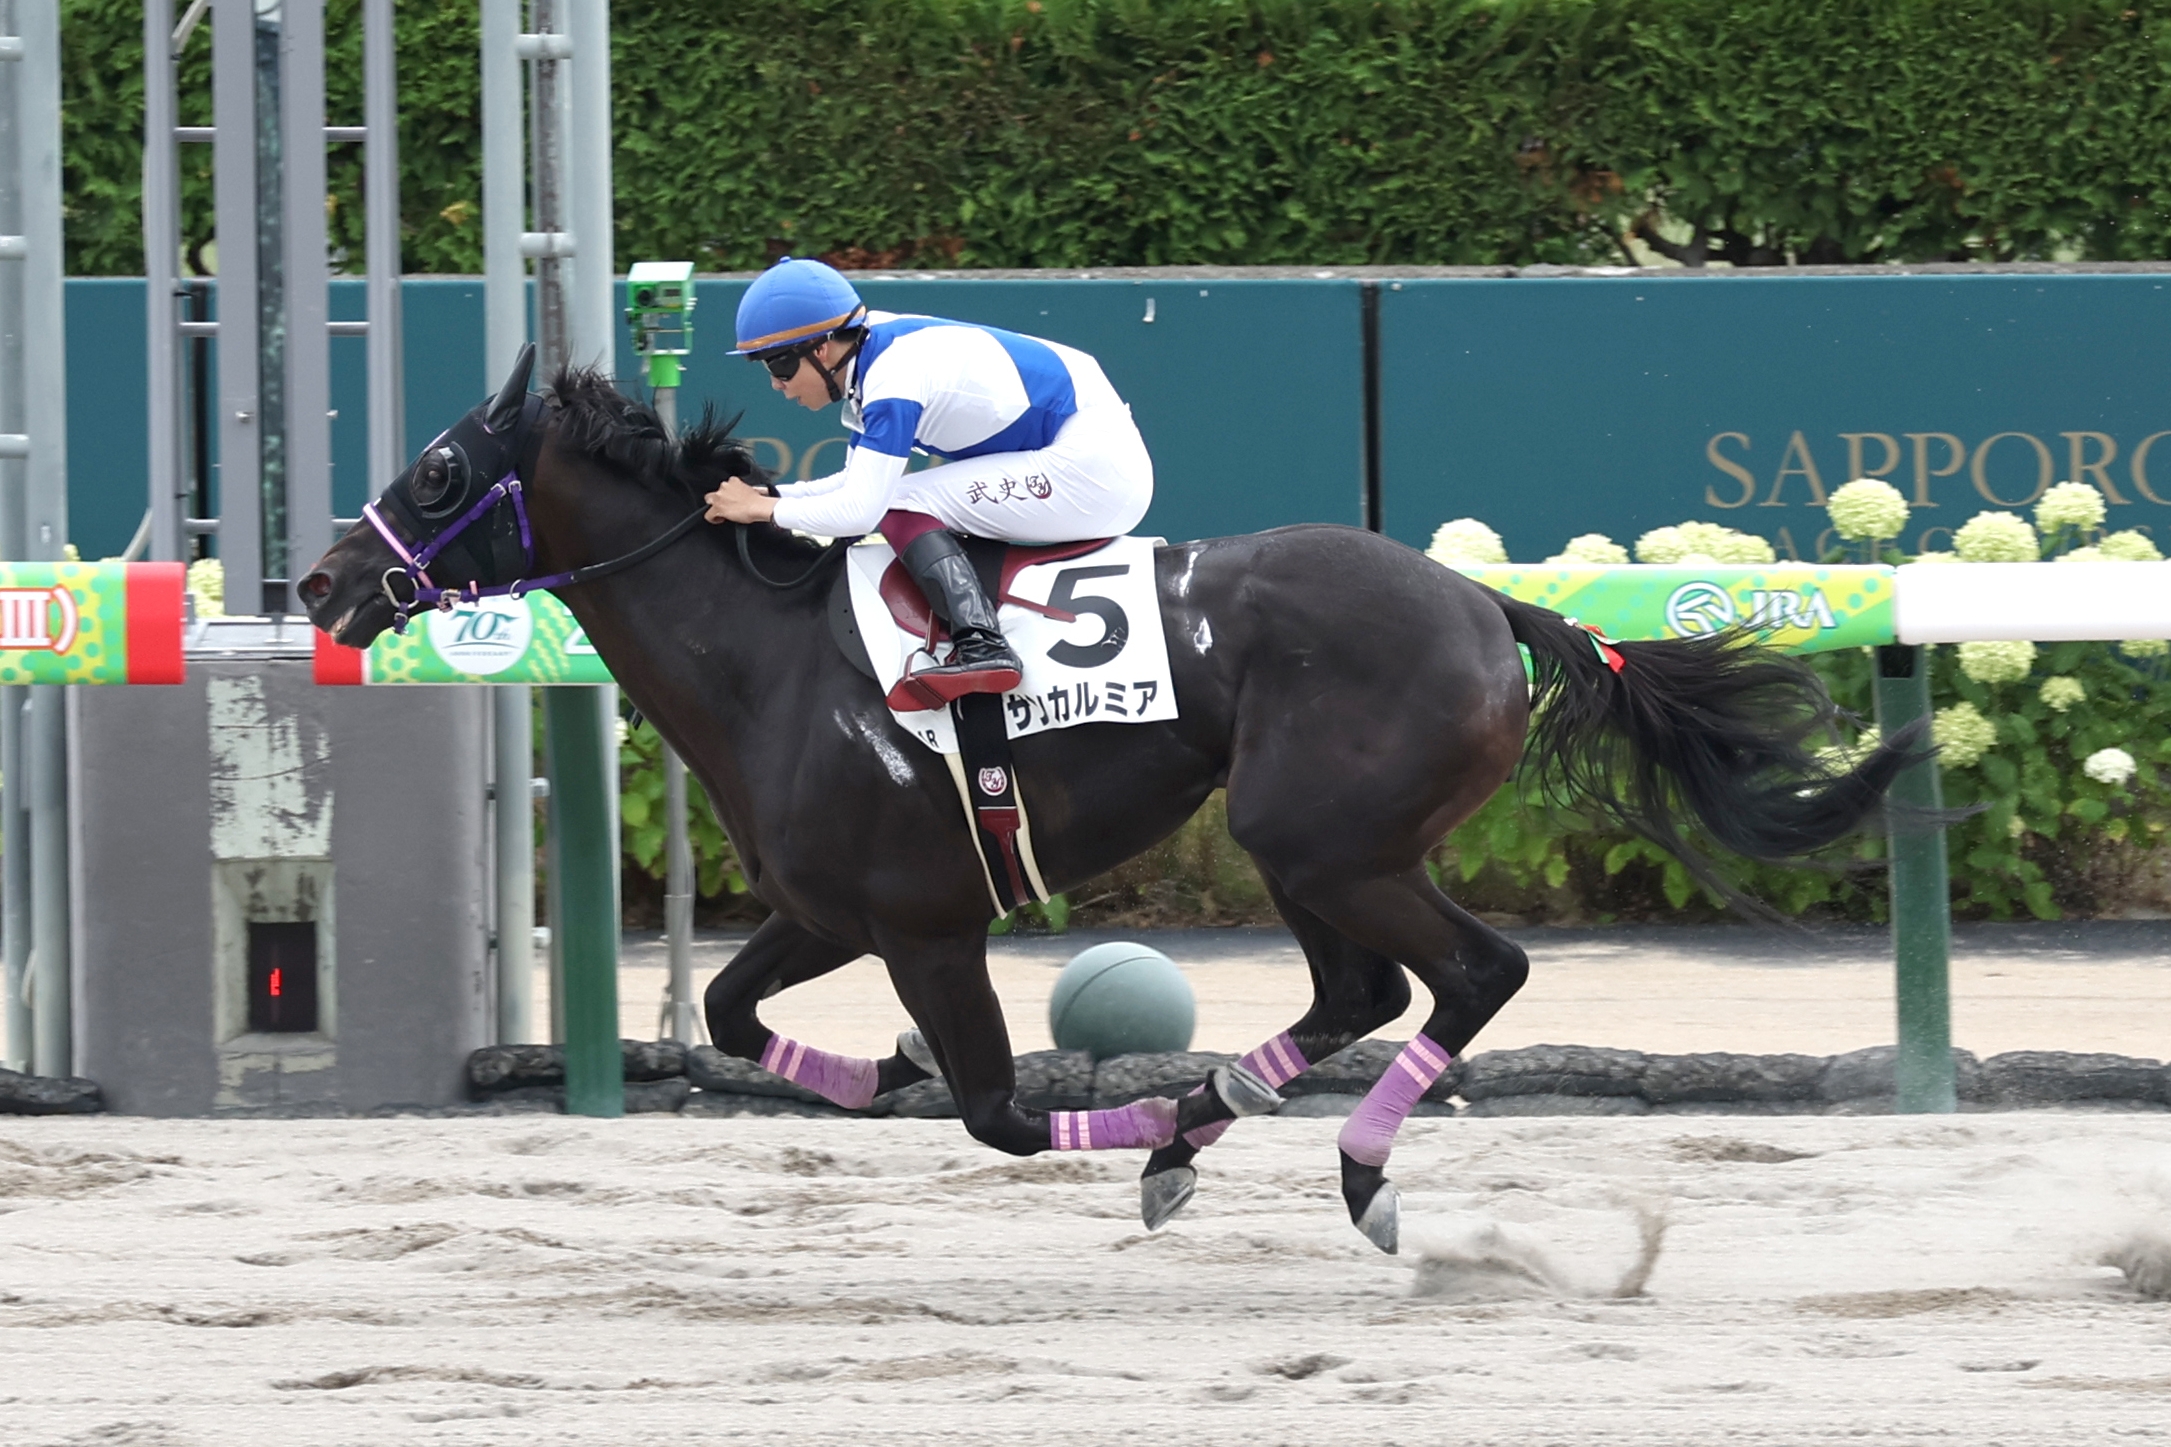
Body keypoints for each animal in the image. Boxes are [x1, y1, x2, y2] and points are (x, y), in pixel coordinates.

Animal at [300, 349, 1923, 1254]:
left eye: (438, 468)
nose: (321, 581)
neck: (769, 658)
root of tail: (1485, 600)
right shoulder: (832, 912)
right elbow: (729, 1014)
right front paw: (882, 1066)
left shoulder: (928, 927)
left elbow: (999, 1114)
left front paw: (1103, 1104)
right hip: (1308, 847)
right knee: (1355, 989)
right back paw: (1198, 1134)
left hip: (1320, 836)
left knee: (1474, 971)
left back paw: (1331, 1164)